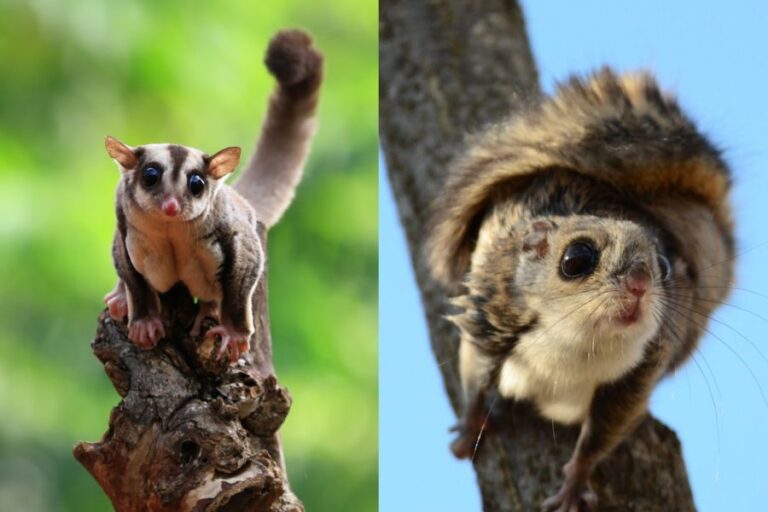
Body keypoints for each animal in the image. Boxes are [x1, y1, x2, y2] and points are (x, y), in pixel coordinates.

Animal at [103, 30, 323, 363]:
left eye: (196, 184)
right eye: (150, 176)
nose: (171, 206)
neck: (171, 228)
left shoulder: (231, 227)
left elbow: (245, 267)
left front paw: (234, 335)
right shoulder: (122, 217)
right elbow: (129, 271)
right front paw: (143, 322)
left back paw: (208, 311)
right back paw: (120, 298)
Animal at [427, 69, 734, 511]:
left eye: (664, 266)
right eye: (576, 260)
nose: (640, 284)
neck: (579, 340)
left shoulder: (640, 371)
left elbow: (603, 432)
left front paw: (574, 482)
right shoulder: (492, 312)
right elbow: (476, 373)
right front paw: (470, 428)